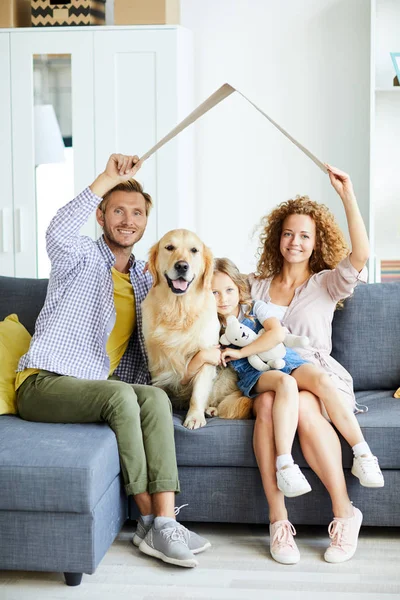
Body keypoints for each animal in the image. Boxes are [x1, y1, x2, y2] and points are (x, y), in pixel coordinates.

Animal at [142, 227, 252, 428]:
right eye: (169, 247)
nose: (182, 266)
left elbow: (198, 393)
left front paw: (194, 417)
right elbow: (161, 387)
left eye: (194, 250)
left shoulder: (207, 355)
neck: (179, 309)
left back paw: (211, 409)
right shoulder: (156, 359)